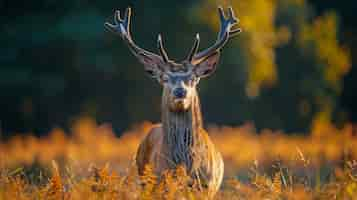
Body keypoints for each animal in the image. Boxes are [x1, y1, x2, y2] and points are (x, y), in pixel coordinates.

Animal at [104, 6, 241, 197]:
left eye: (193, 78)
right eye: (164, 78)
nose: (180, 91)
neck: (185, 168)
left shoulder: (207, 186)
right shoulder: (160, 183)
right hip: (145, 181)